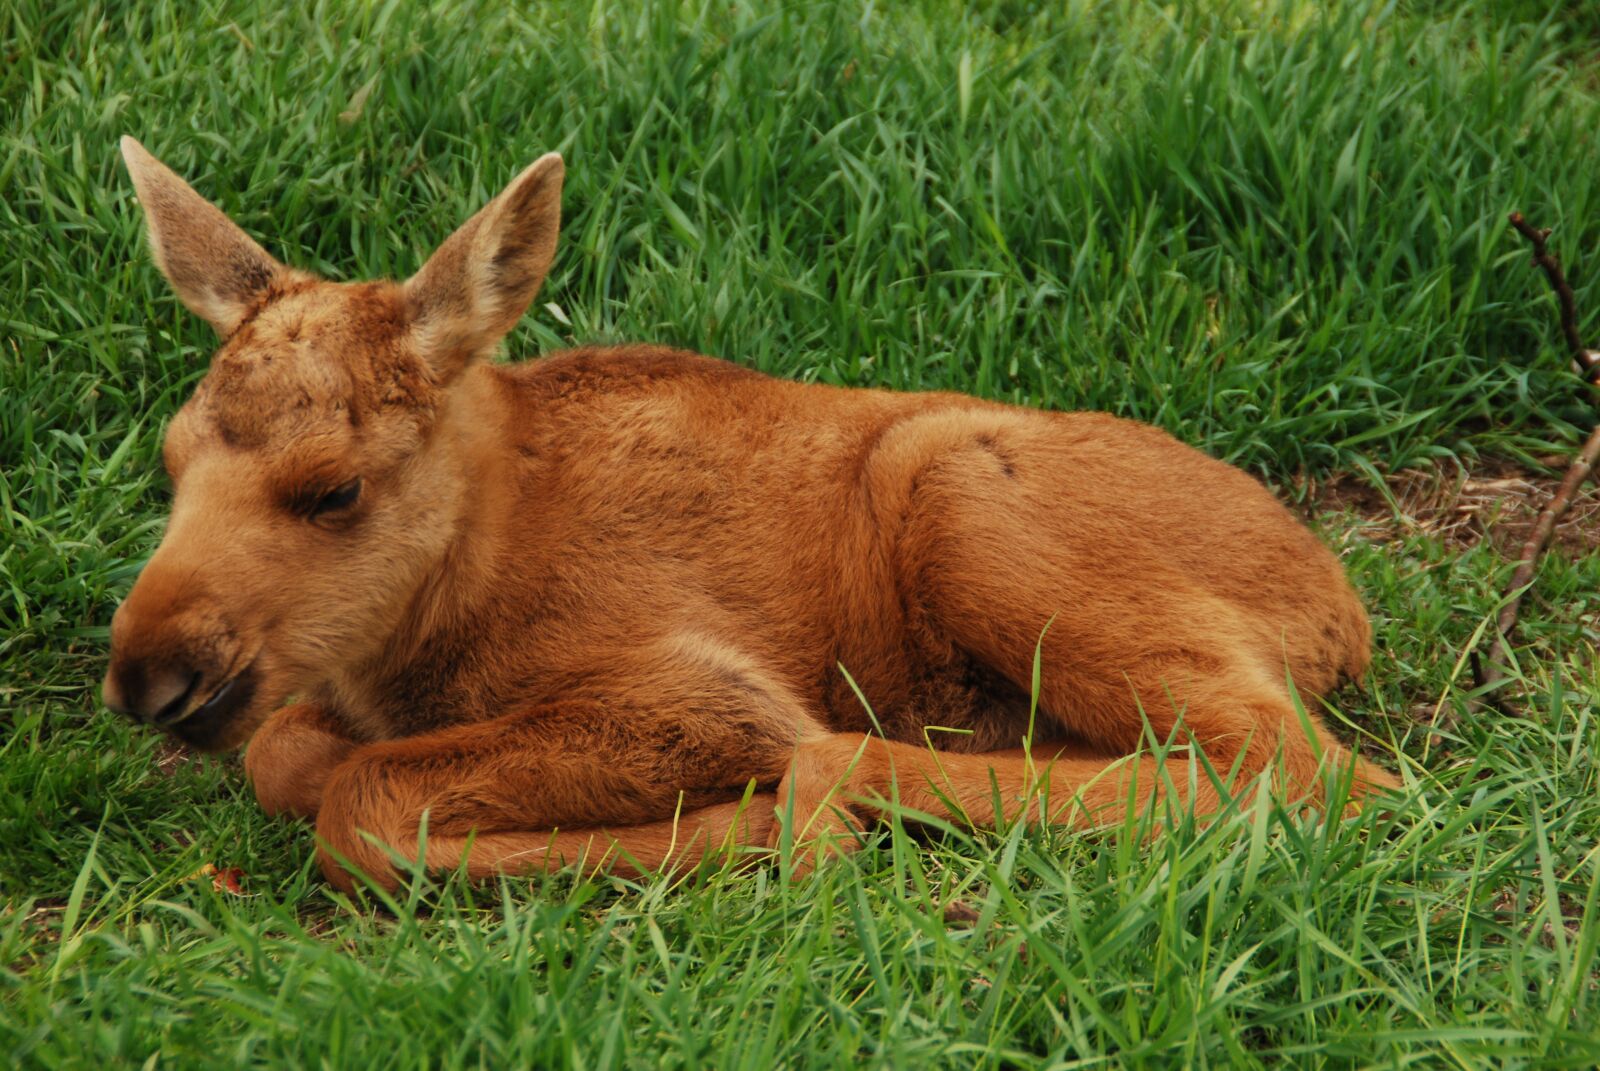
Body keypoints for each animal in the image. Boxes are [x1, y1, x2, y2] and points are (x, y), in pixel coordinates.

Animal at [102, 137, 1399, 894]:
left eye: (335, 489)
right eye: (170, 462)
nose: (149, 676)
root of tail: (1341, 612)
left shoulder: (695, 692)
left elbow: (360, 804)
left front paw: (731, 829)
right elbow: (286, 753)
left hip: (958, 498)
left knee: (1315, 776)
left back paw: (833, 797)